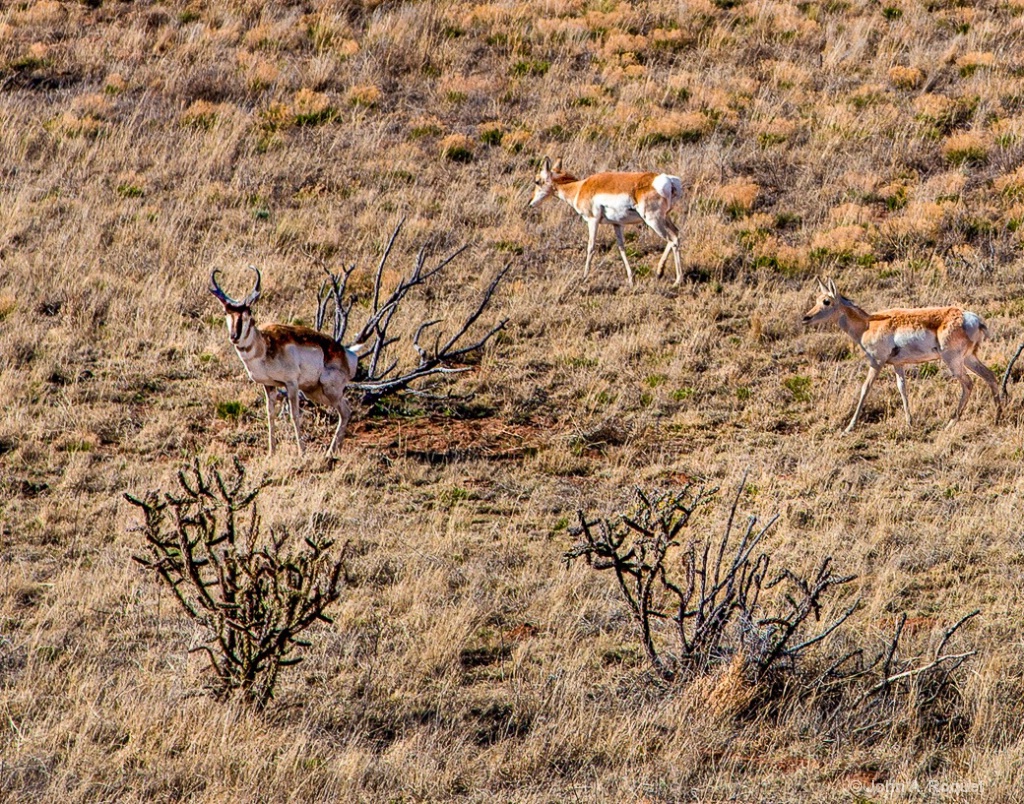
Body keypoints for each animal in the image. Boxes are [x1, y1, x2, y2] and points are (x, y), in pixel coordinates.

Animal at [209, 268, 362, 454]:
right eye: (226, 312)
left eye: (248, 313)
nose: (234, 336)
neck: (264, 346)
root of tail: (346, 353)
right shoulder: (269, 385)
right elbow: (270, 415)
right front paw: (271, 453)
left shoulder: (291, 384)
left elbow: (295, 415)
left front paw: (302, 452)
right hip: (315, 392)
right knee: (344, 412)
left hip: (329, 391)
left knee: (346, 412)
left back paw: (329, 453)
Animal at [528, 156, 688, 284]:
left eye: (537, 181)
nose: (530, 203)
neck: (579, 187)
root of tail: (668, 180)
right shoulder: (617, 224)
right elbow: (621, 248)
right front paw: (631, 278)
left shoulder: (592, 221)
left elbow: (591, 247)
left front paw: (584, 277)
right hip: (664, 218)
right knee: (676, 234)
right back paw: (665, 274)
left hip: (653, 220)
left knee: (672, 239)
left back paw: (671, 277)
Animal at [798, 278, 999, 432]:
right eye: (817, 299)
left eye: (826, 301)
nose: (805, 318)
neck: (868, 324)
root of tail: (970, 318)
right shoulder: (898, 365)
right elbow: (902, 388)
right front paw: (909, 422)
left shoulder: (876, 363)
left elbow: (865, 389)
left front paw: (849, 427)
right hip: (969, 359)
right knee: (990, 376)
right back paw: (998, 416)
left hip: (953, 361)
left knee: (968, 384)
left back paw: (950, 424)